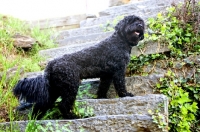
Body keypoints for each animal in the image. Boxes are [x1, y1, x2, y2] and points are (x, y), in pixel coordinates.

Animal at [13, 14, 144, 119]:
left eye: (141, 21)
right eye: (131, 21)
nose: (139, 25)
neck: (120, 41)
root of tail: (51, 64)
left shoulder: (107, 75)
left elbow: (103, 87)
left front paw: (101, 97)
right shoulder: (119, 70)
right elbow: (121, 85)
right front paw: (125, 95)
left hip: (55, 89)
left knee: (42, 105)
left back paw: (35, 119)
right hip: (71, 86)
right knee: (63, 105)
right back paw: (72, 116)